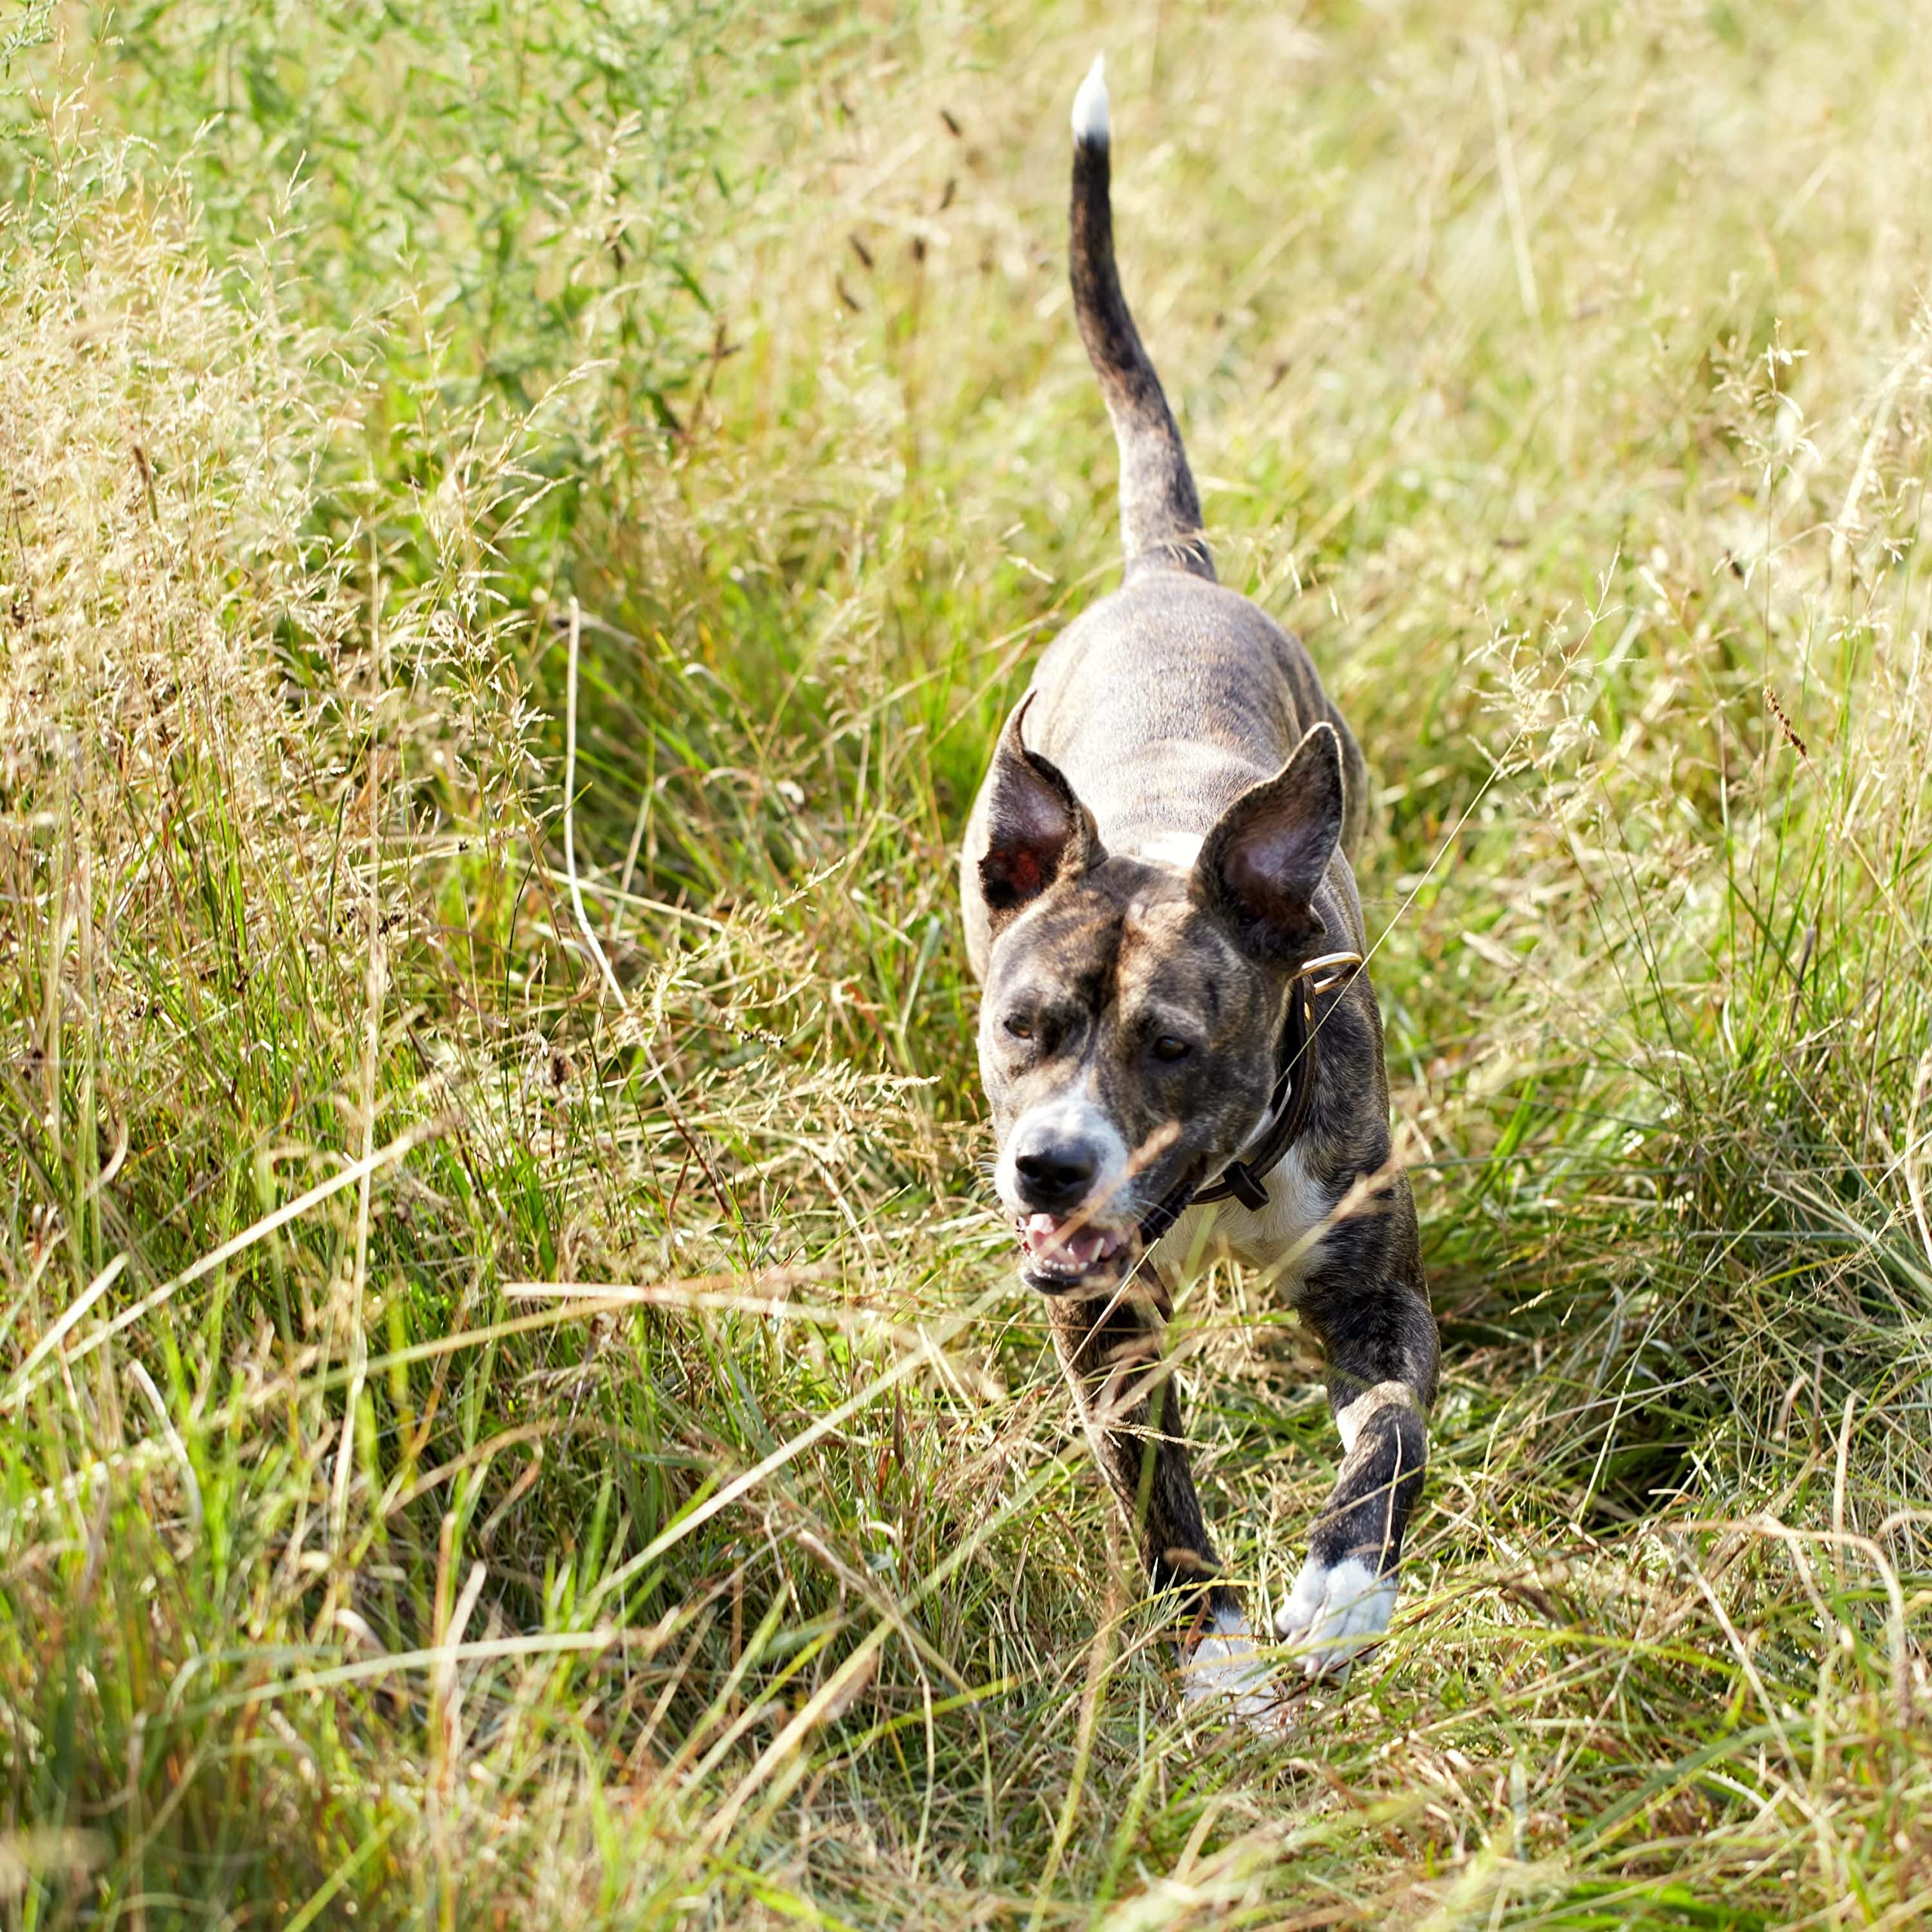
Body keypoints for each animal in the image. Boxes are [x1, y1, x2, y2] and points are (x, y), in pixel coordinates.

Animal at [961, 56, 1437, 1723]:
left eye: (1173, 1043)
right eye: (1022, 1025)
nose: (1047, 1166)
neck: (1220, 1178)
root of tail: (1166, 576)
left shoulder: (1374, 1292)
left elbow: (1392, 1436)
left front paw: (1342, 1589)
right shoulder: (1097, 1319)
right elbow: (1157, 1496)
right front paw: (1223, 1653)